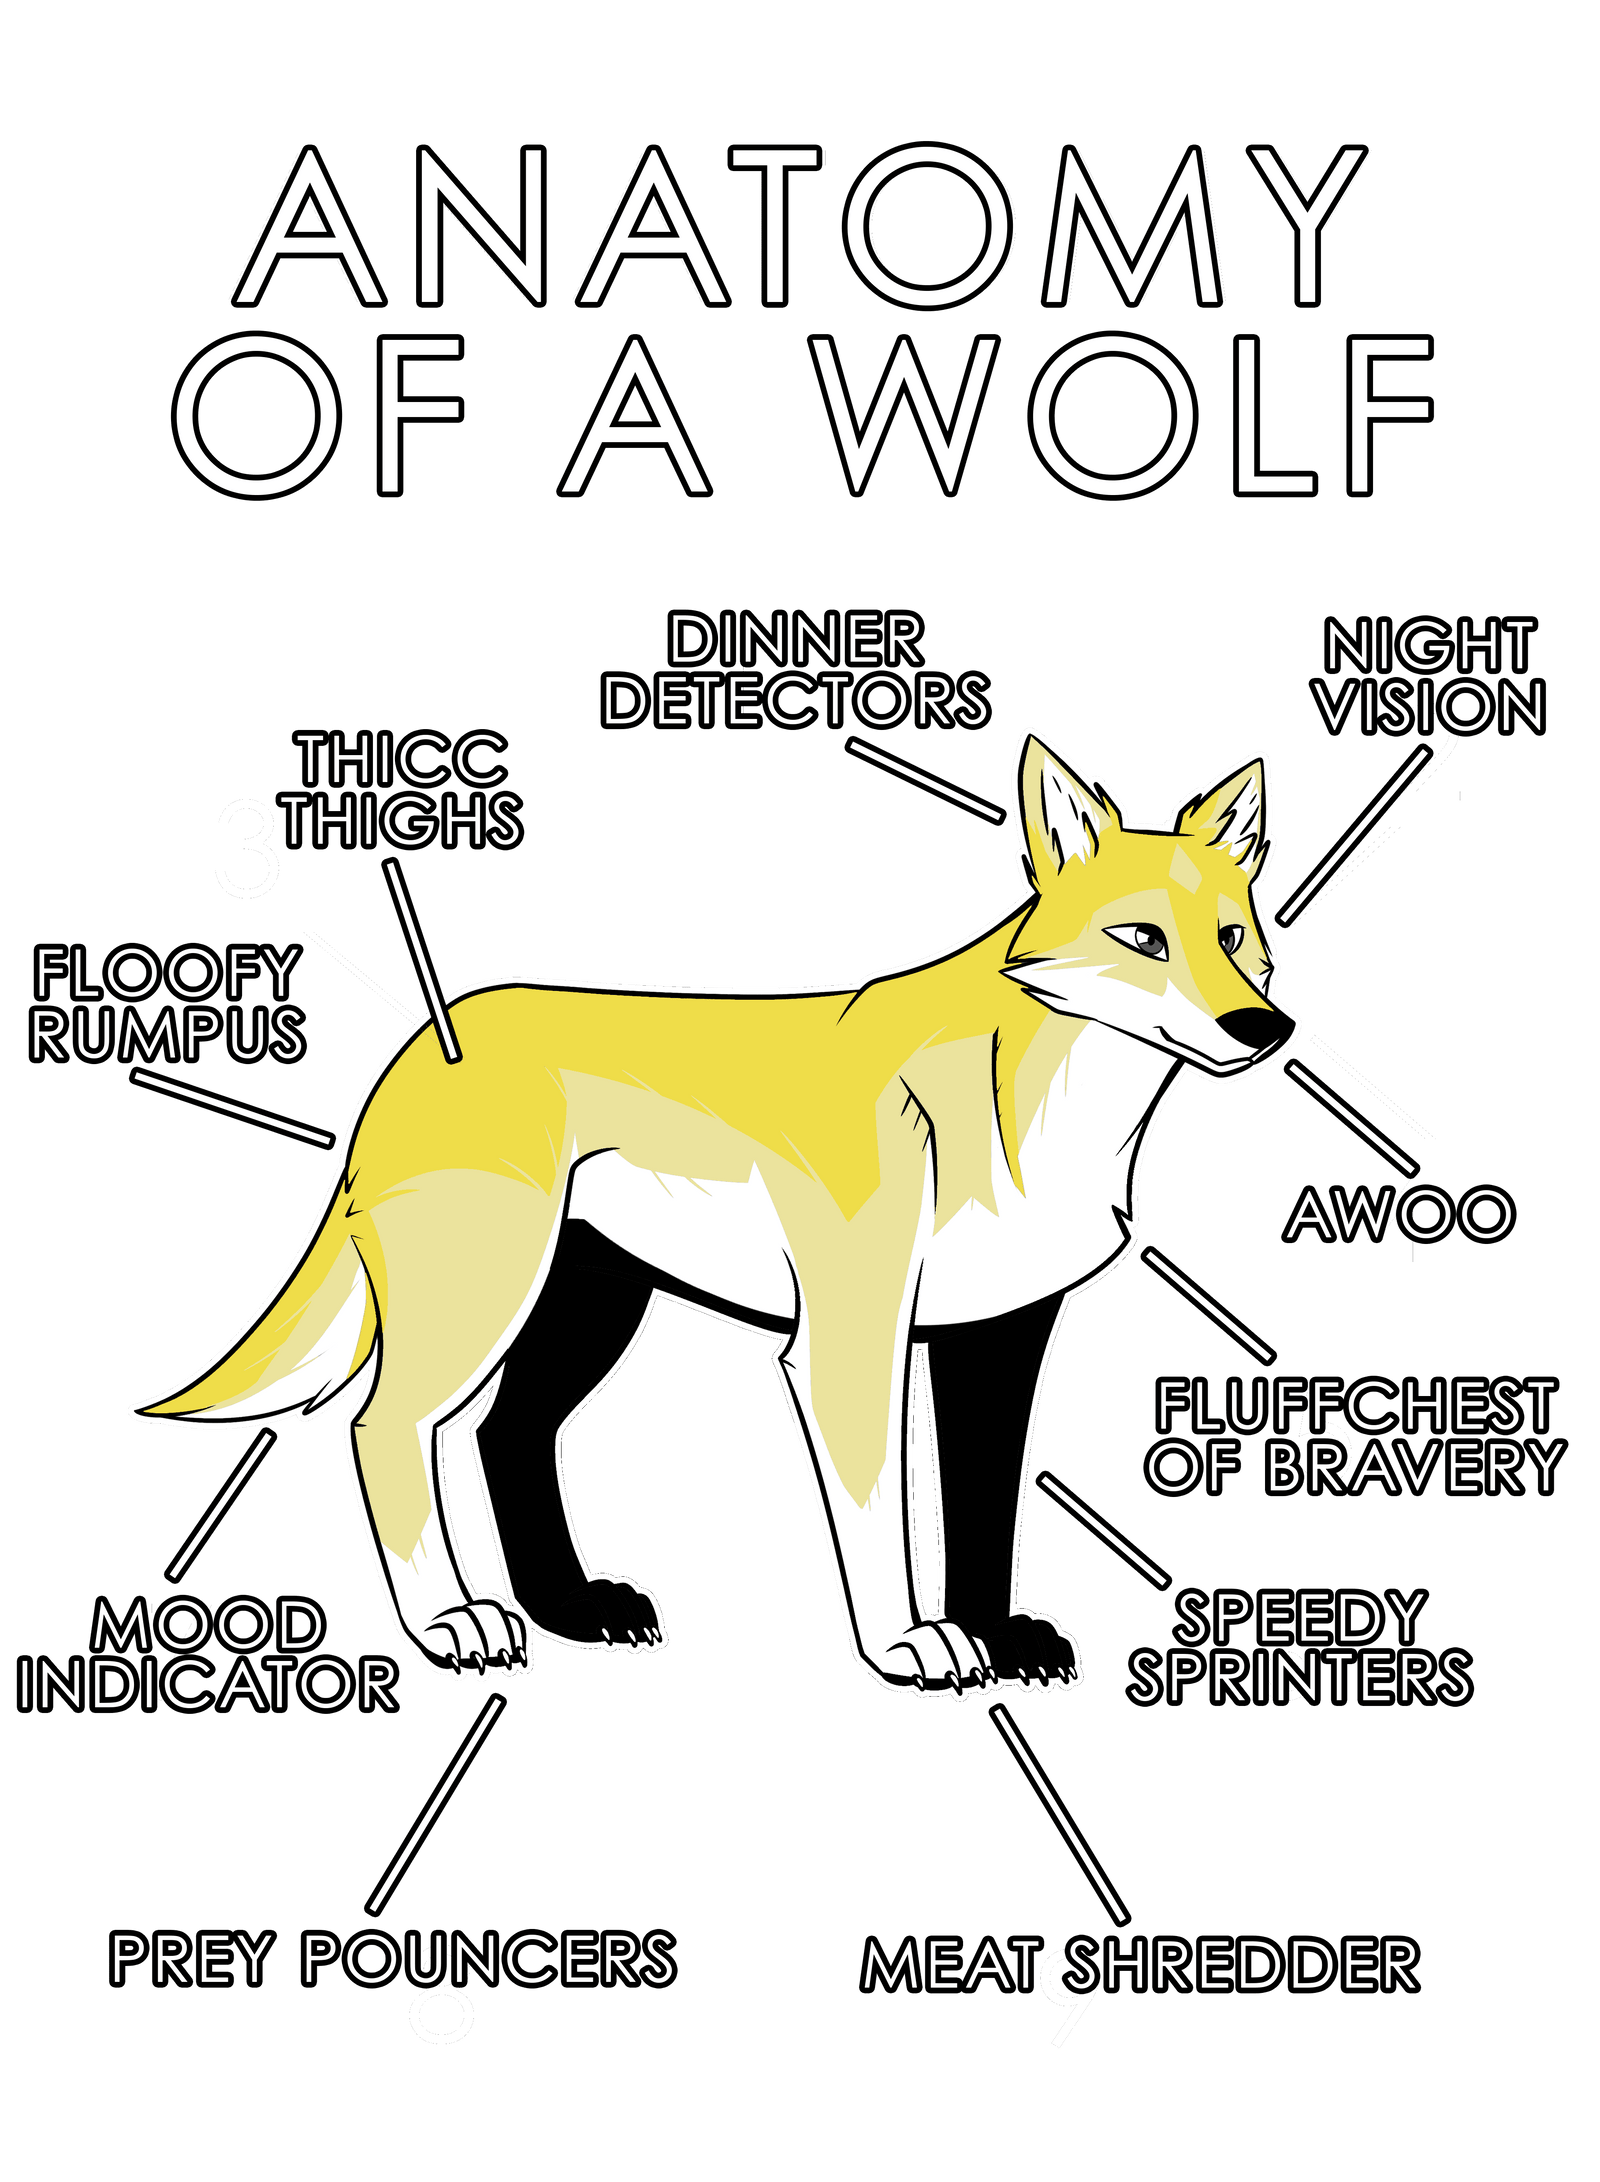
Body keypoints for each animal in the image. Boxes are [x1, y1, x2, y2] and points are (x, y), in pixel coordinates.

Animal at [136, 731, 1294, 1696]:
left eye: (1236, 940)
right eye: (1141, 939)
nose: (1263, 1027)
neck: (1040, 1107)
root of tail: (423, 1041)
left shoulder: (997, 1336)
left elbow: (982, 1509)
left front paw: (997, 1637)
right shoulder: (849, 1338)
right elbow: (879, 1514)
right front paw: (906, 1645)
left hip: (589, 1306)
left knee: (509, 1433)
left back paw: (569, 1611)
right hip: (489, 1300)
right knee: (386, 1429)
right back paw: (448, 1625)